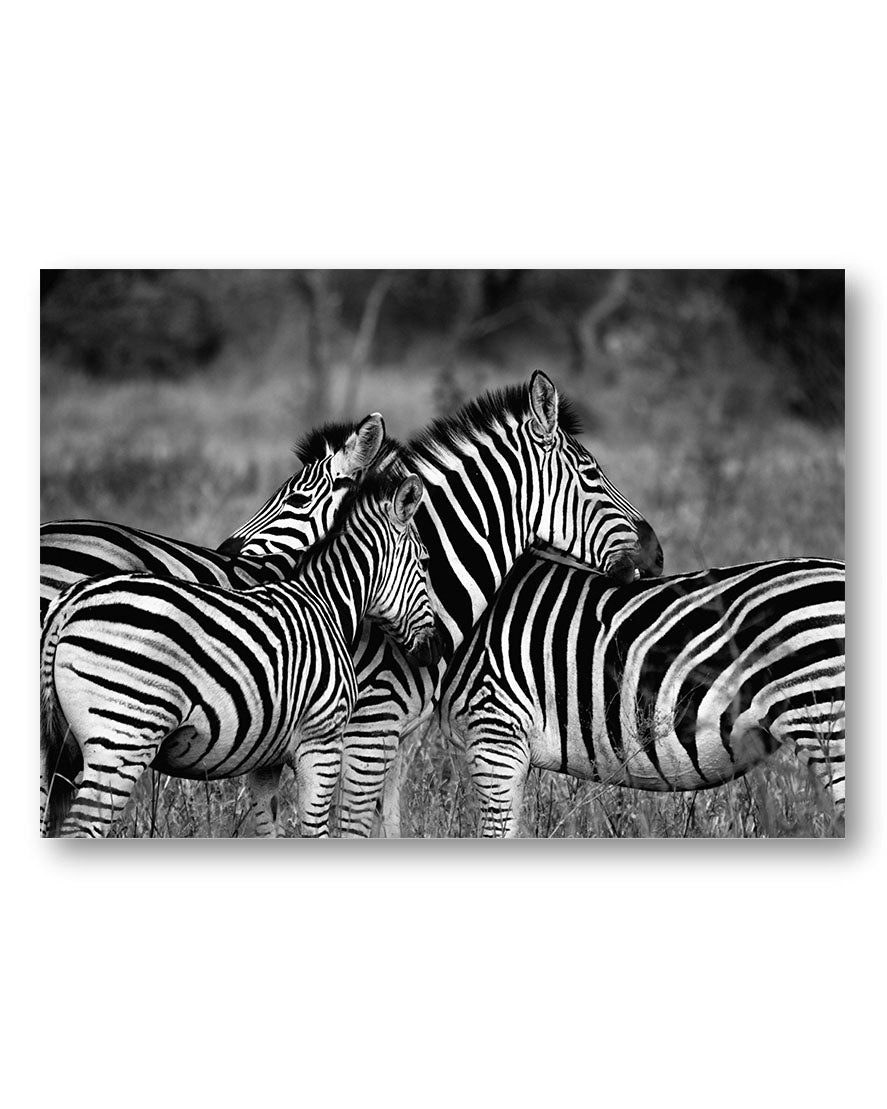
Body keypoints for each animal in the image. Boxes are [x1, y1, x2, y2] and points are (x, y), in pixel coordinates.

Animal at [41, 467, 441, 838]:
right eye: (424, 562)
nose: (435, 650)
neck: (325, 603)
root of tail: (70, 603)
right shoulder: (321, 741)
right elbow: (316, 830)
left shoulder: (267, 757)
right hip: (122, 739)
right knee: (81, 826)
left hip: (56, 749)